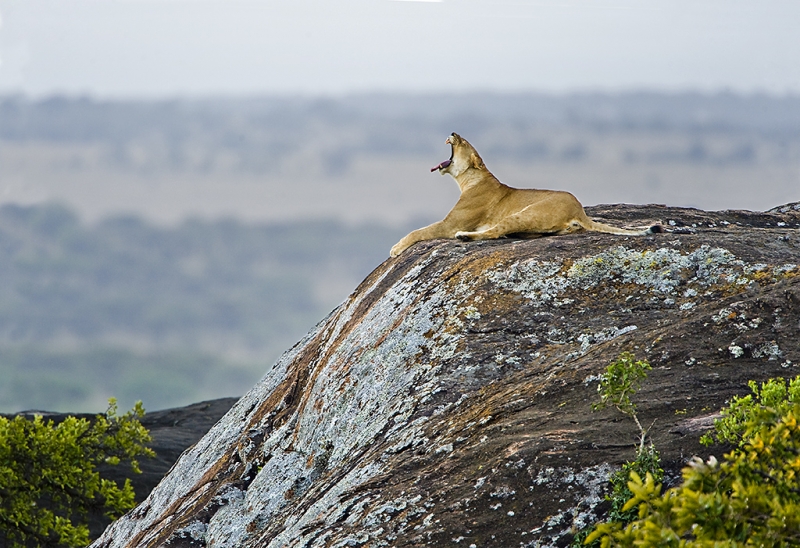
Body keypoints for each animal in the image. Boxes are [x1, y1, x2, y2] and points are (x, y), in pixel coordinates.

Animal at [390, 133, 660, 256]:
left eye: (463, 142)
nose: (453, 133)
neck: (468, 180)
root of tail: (579, 209)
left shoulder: (451, 223)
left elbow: (418, 232)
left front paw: (396, 248)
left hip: (524, 214)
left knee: (495, 232)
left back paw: (465, 237)